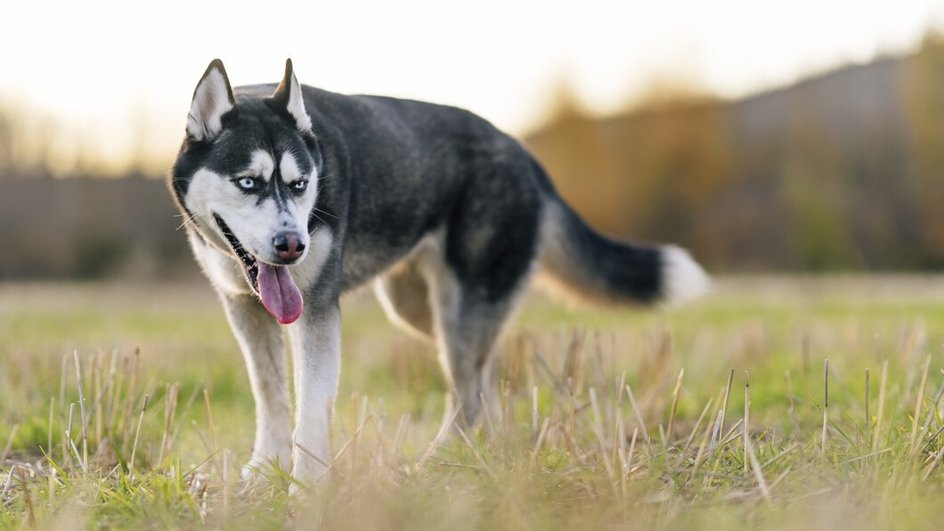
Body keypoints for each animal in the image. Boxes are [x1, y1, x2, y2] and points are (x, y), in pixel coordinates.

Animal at [168, 59, 708, 490]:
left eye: (300, 185)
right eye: (248, 182)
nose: (293, 245)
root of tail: (526, 155)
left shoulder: (317, 309)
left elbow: (313, 407)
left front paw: (307, 488)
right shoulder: (244, 307)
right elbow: (270, 394)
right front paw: (263, 473)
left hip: (460, 308)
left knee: (467, 394)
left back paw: (435, 465)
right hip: (419, 310)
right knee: (484, 379)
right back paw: (487, 453)